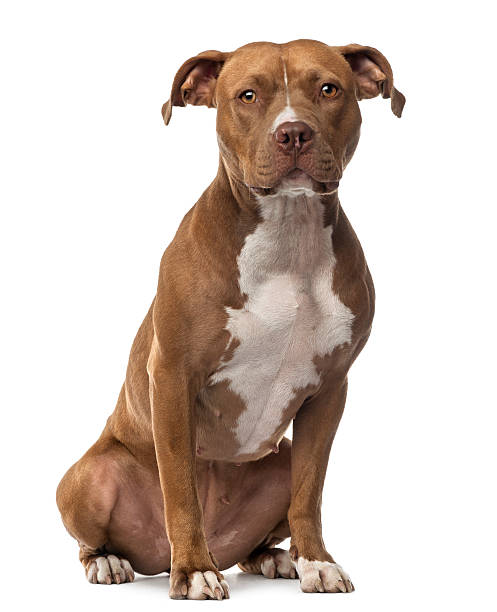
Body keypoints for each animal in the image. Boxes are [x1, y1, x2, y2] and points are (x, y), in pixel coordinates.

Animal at [56, 38, 404, 596]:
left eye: (329, 89)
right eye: (247, 95)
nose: (293, 132)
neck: (287, 237)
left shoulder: (330, 389)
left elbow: (310, 492)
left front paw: (317, 562)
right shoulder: (172, 377)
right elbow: (180, 487)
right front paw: (195, 570)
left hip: (277, 461)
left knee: (268, 521)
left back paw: (275, 558)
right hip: (88, 477)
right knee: (95, 535)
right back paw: (111, 562)